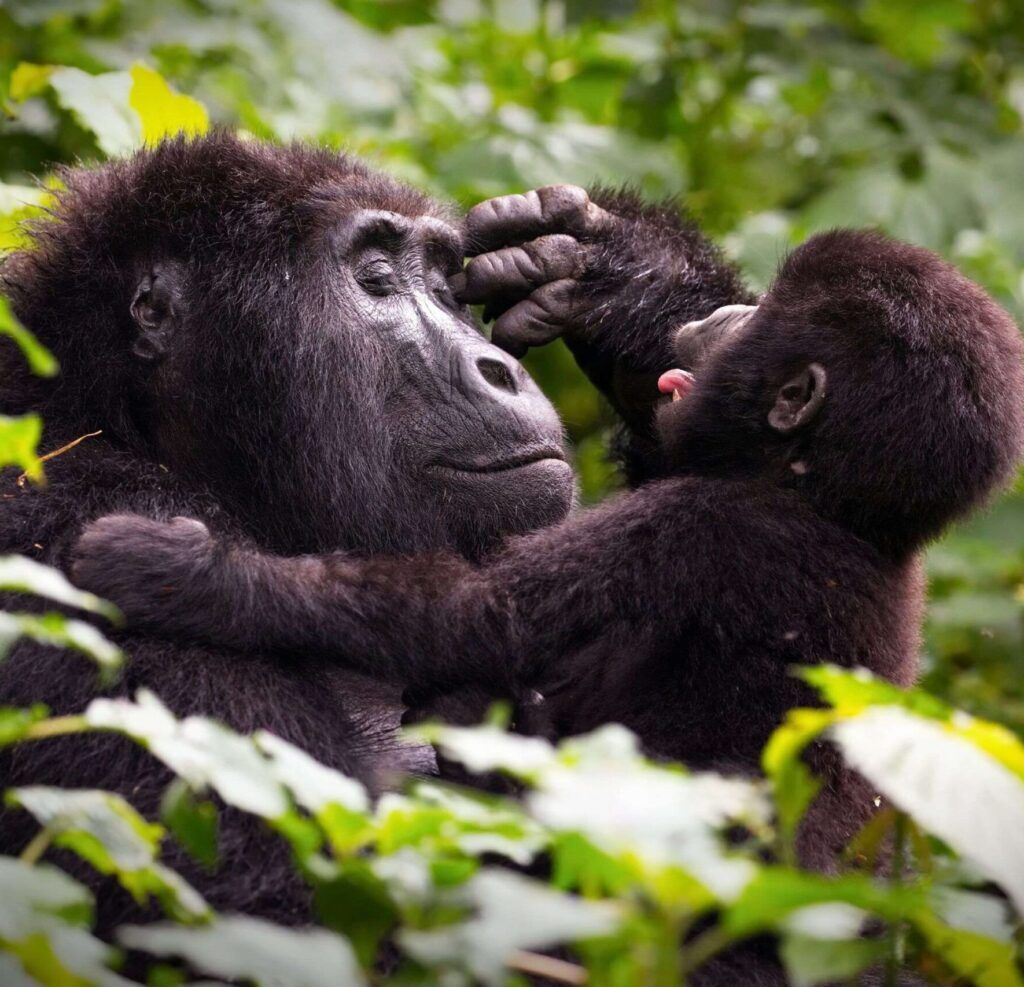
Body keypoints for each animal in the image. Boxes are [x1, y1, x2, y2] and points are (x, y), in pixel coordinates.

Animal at [72, 227, 1024, 868]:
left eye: (752, 320)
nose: (714, 315)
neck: (827, 497)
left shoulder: (695, 527)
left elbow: (467, 616)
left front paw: (178, 572)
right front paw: (616, 267)